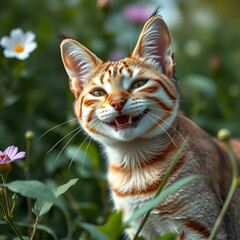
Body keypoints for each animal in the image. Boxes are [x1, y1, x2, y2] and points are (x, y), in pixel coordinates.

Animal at [58, 9, 240, 240]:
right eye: (98, 92)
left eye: (139, 83)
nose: (117, 102)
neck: (135, 166)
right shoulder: (138, 228)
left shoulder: (199, 226)